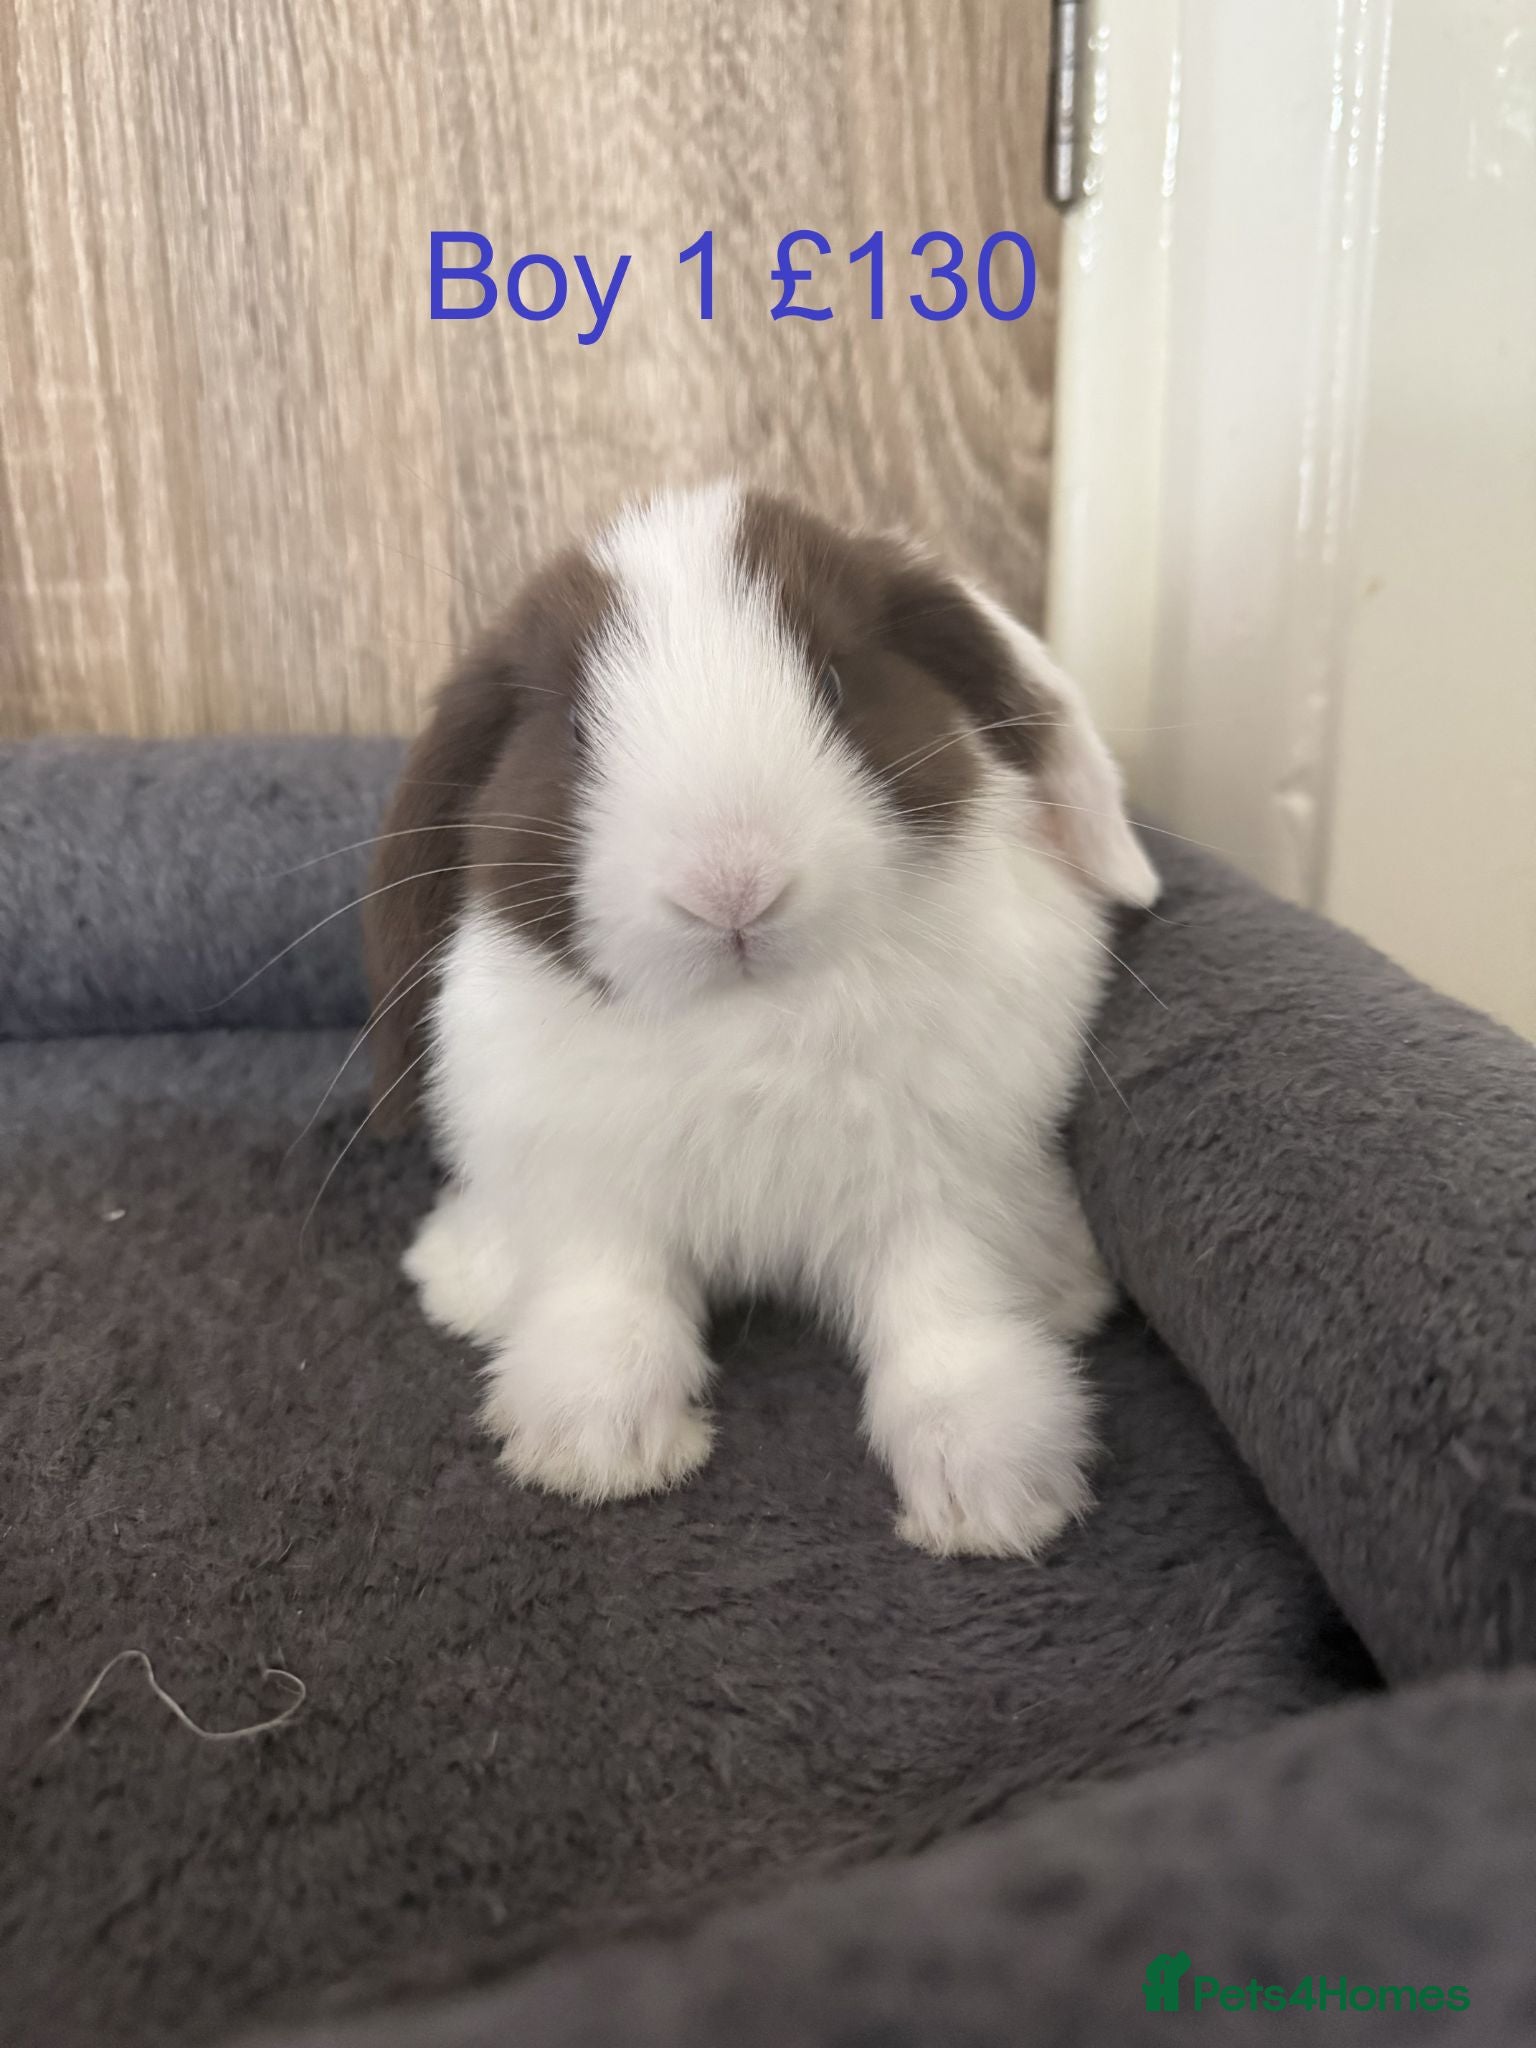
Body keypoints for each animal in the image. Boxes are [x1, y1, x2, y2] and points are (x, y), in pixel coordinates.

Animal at [363, 482, 1159, 1558]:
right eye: (575, 731)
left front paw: (991, 1496)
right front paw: (594, 1449)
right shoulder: (592, 1189)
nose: (731, 887)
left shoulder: (944, 1190)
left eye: (833, 682)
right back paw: (462, 1278)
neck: (745, 1013)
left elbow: (945, 1315)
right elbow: (609, 1301)